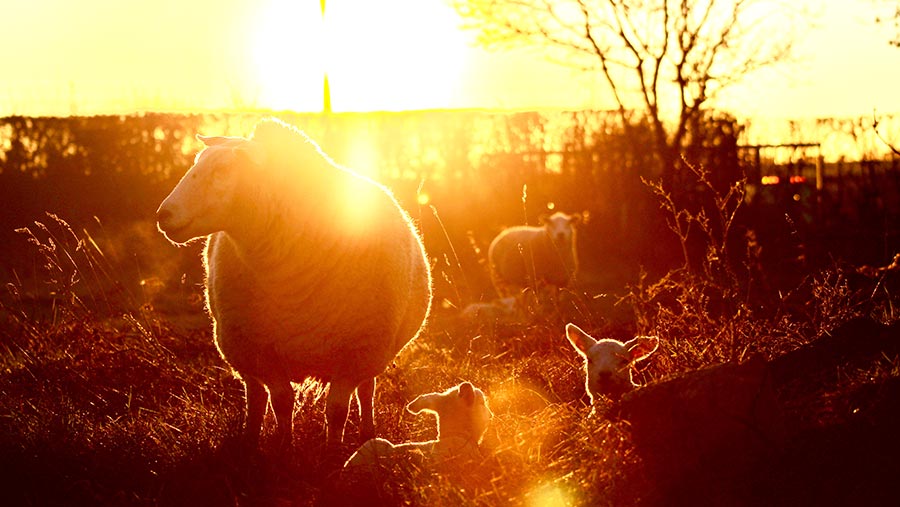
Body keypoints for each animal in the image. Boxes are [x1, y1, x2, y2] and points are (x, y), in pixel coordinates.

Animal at [155, 118, 432, 444]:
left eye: (222, 170)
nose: (163, 215)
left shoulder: (357, 354)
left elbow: (337, 410)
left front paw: (333, 450)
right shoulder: (261, 351)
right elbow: (282, 402)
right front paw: (284, 445)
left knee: (367, 391)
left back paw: (368, 432)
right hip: (235, 343)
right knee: (255, 394)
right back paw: (249, 438)